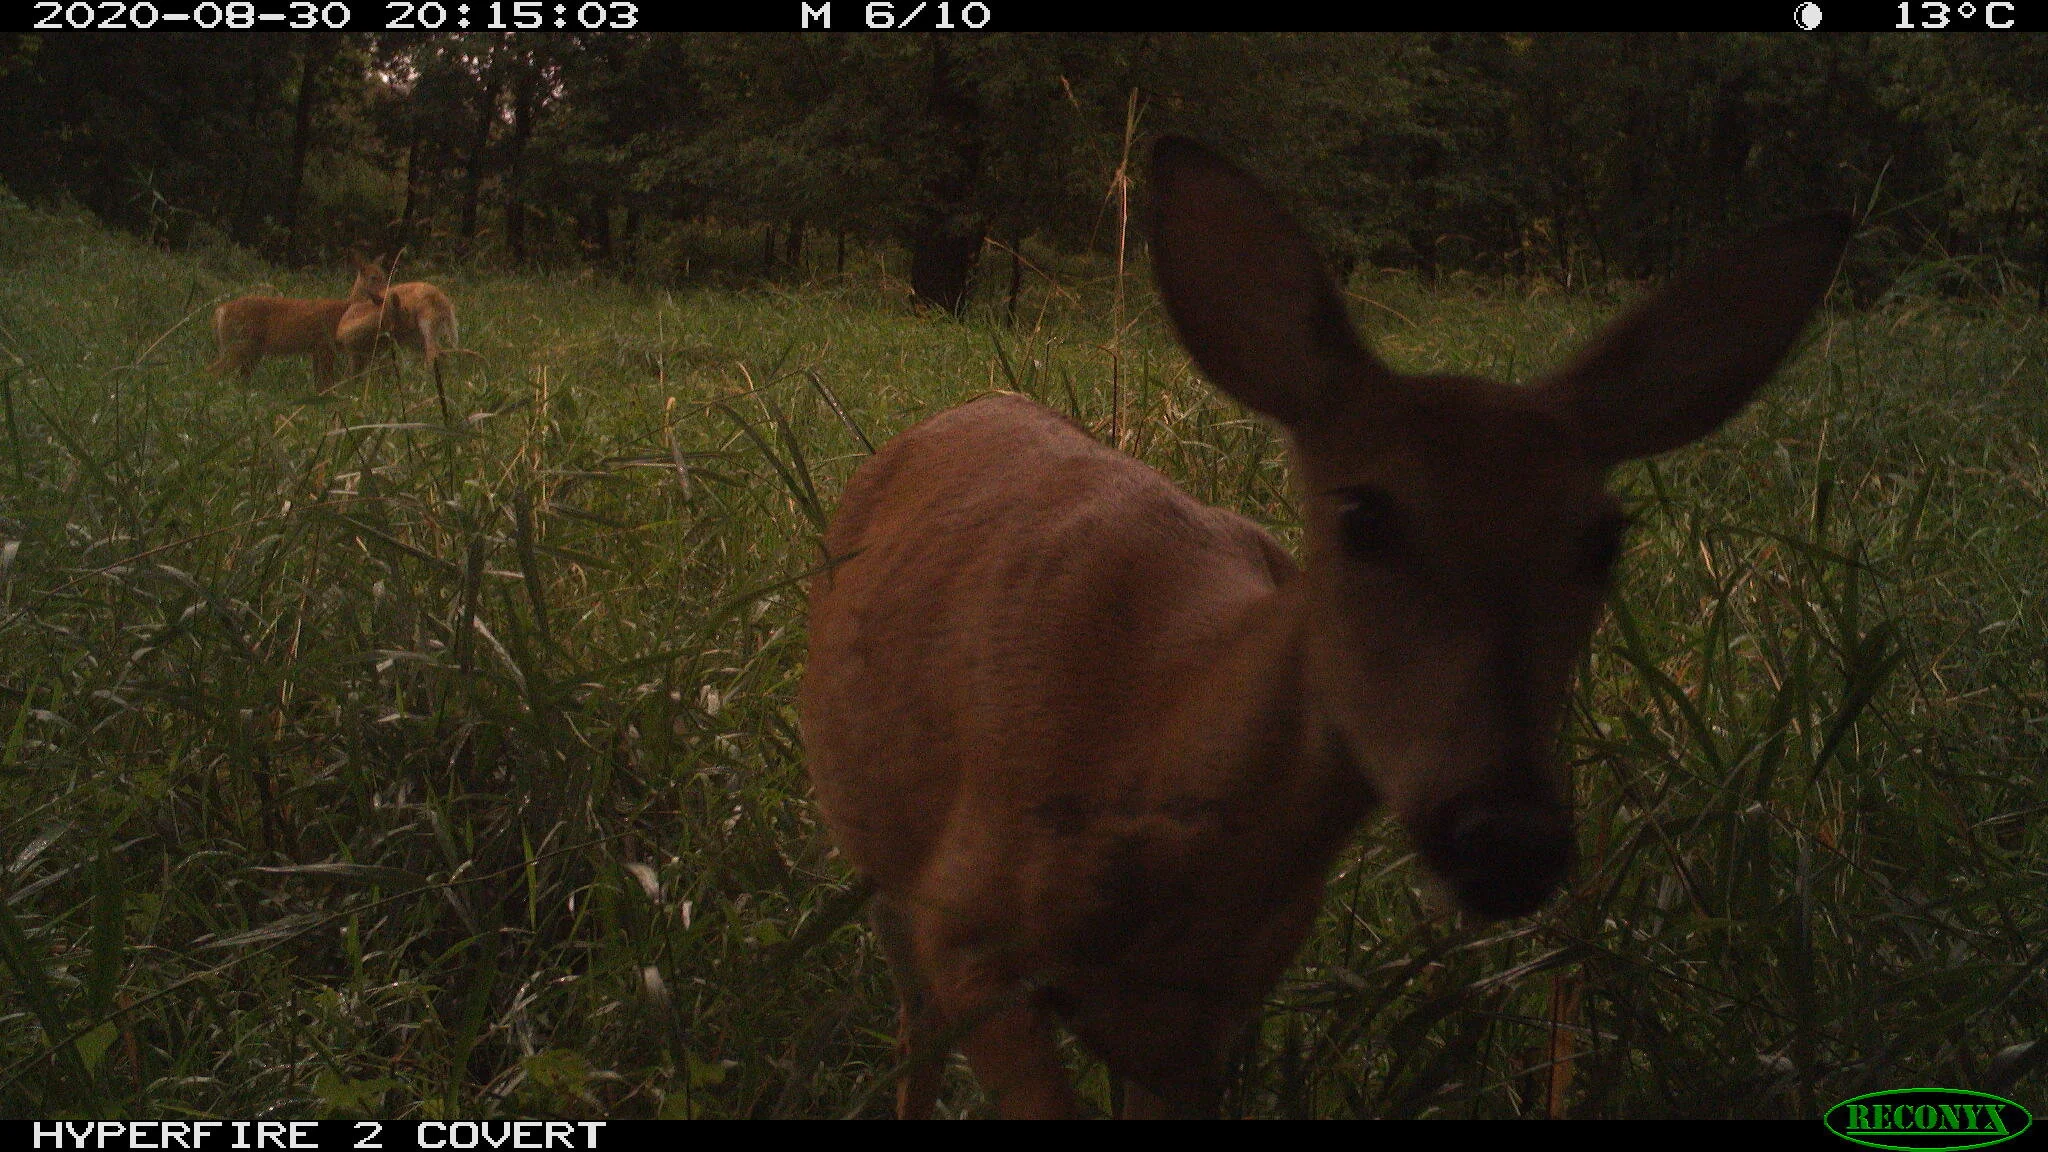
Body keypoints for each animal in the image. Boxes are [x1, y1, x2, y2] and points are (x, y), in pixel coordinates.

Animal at [210, 254, 388, 393]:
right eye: (373, 278)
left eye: (385, 277)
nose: (385, 294)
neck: (344, 312)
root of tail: (220, 311)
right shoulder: (325, 344)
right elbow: (327, 380)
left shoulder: (315, 349)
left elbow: (319, 382)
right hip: (240, 344)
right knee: (213, 371)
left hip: (251, 351)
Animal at [798, 136, 1851, 1119]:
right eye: (1363, 516)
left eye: (1604, 539)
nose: (1508, 835)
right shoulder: (964, 924)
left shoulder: (1204, 1023)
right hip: (882, 862)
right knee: (911, 1032)